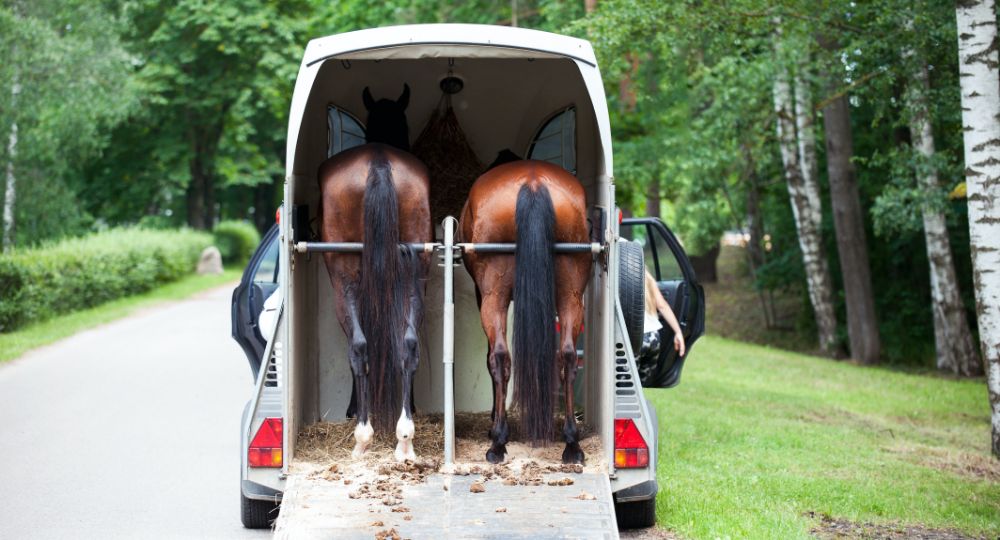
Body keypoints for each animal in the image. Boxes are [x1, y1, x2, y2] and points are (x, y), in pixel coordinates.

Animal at [317, 84, 431, 462]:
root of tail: (379, 161)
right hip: (414, 275)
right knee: (408, 344)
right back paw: (404, 437)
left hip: (343, 284)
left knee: (359, 346)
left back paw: (363, 436)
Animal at [459, 160, 592, 464]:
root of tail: (533, 182)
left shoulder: (483, 295)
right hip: (571, 295)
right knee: (567, 356)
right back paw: (572, 443)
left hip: (493, 295)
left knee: (498, 356)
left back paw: (497, 442)